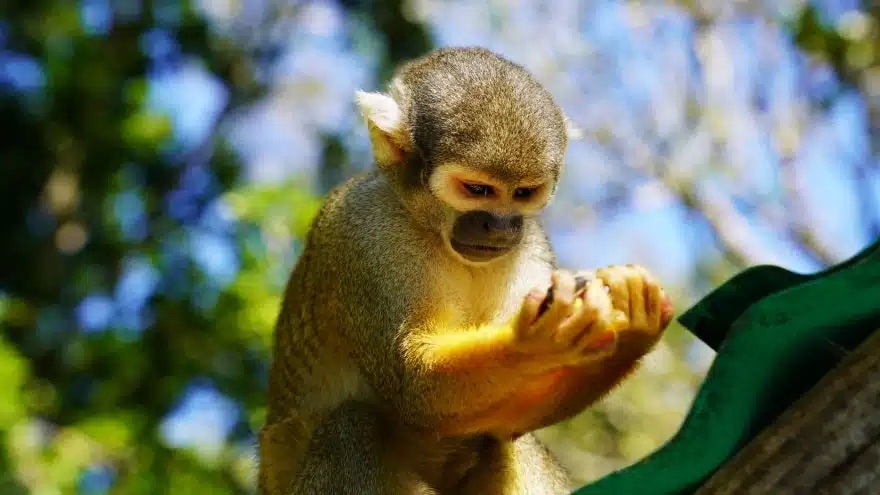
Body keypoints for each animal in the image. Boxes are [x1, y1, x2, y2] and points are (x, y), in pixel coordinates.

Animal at [257, 47, 673, 495]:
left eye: (523, 193)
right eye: (478, 190)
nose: (501, 226)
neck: (432, 228)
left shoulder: (530, 244)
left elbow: (509, 421)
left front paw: (633, 328)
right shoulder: (368, 233)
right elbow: (416, 388)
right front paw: (532, 342)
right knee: (350, 426)